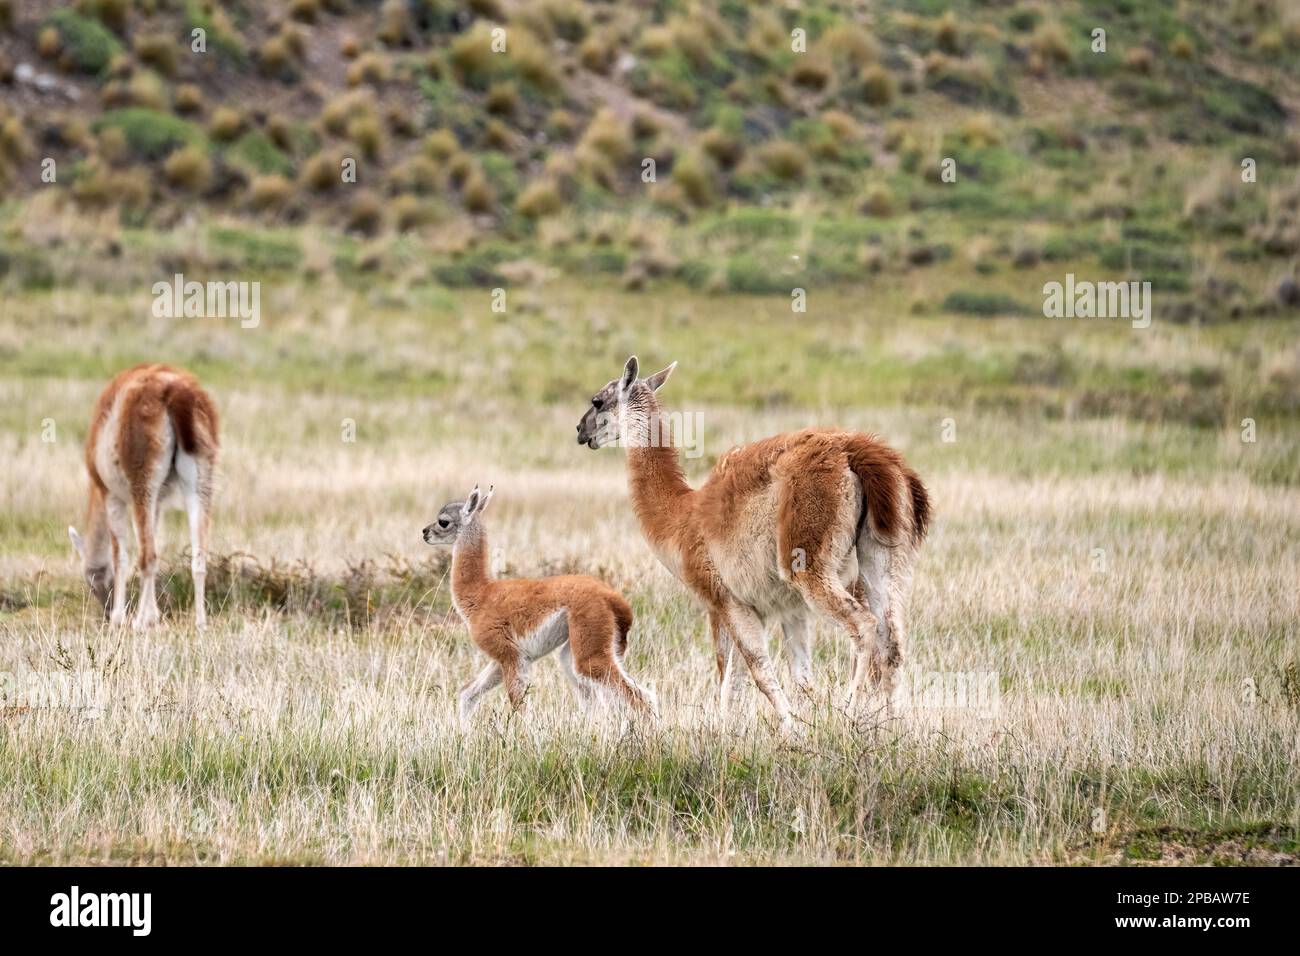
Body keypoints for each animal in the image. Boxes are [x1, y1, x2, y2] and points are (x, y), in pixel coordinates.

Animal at [68, 364, 217, 629]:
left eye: (91, 579)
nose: (105, 609)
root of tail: (177, 392)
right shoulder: (157, 503)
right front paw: (152, 615)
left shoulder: (111, 495)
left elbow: (120, 556)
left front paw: (121, 618)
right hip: (200, 479)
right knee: (198, 557)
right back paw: (200, 622)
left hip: (141, 480)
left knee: (146, 556)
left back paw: (136, 623)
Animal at [423, 486, 655, 717]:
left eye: (443, 521)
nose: (425, 532)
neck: (481, 595)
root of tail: (615, 598)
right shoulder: (508, 657)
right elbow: (467, 693)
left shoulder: (509, 654)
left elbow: (519, 705)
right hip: (578, 647)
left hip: (591, 640)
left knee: (641, 697)